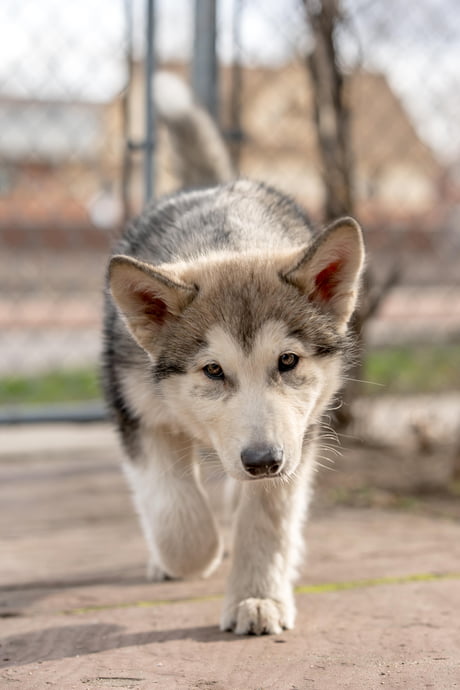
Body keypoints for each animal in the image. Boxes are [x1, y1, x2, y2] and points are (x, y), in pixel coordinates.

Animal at [102, 74, 364, 636]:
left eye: (287, 362)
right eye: (213, 370)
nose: (262, 461)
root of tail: (215, 188)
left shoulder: (298, 434)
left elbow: (265, 519)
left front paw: (257, 597)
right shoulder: (139, 413)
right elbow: (180, 522)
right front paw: (192, 556)